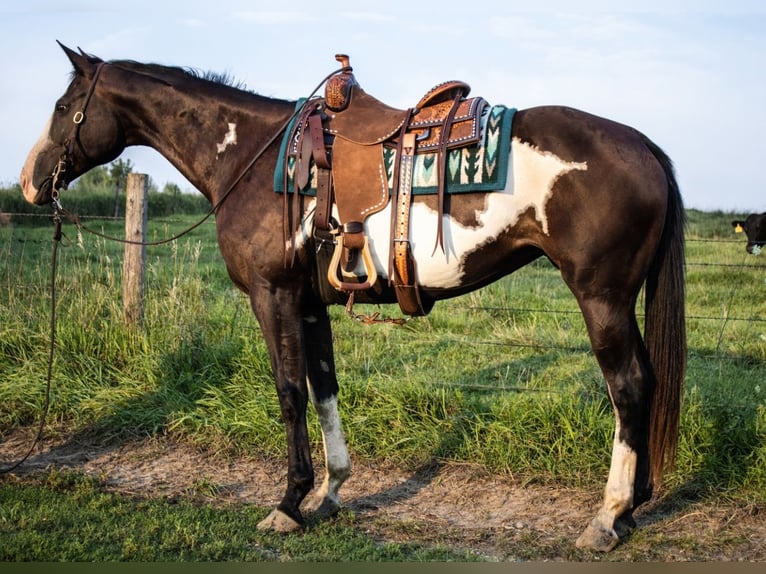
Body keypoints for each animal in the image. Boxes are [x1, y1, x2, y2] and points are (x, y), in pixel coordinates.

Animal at [20, 43, 686, 552]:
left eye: (63, 107)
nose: (29, 182)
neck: (251, 157)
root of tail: (643, 145)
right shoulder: (310, 304)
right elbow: (323, 390)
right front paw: (329, 493)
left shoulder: (273, 297)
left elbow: (289, 394)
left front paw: (288, 503)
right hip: (619, 302)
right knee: (647, 382)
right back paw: (634, 506)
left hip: (600, 298)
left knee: (628, 387)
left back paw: (608, 516)